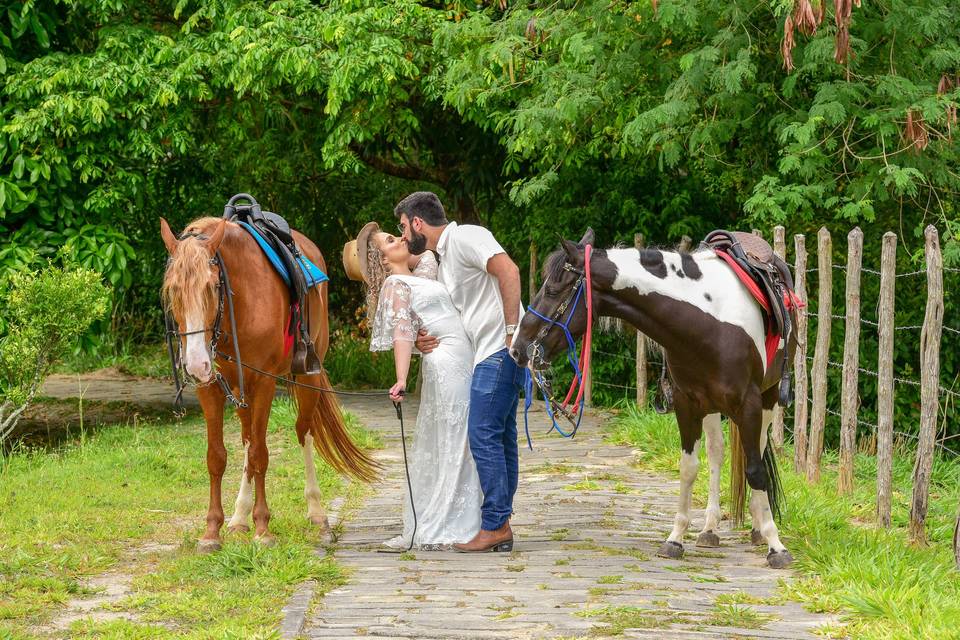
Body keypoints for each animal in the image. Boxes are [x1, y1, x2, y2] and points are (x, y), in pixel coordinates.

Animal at [161, 216, 378, 552]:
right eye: (172, 289)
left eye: (212, 286)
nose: (196, 364)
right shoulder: (209, 387)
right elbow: (217, 457)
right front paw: (212, 531)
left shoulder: (264, 382)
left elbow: (260, 455)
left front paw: (263, 529)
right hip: (240, 389)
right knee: (247, 439)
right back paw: (239, 518)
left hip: (307, 378)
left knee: (303, 432)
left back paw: (317, 514)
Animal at [510, 230, 796, 568]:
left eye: (554, 290)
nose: (517, 349)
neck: (708, 323)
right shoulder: (687, 404)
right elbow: (689, 468)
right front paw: (675, 538)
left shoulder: (748, 403)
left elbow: (755, 470)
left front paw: (776, 545)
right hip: (713, 406)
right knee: (717, 452)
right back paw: (710, 529)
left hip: (768, 396)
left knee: (758, 452)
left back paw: (756, 528)